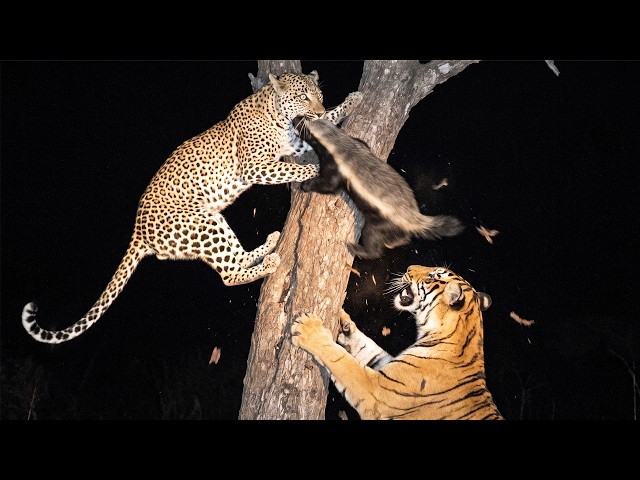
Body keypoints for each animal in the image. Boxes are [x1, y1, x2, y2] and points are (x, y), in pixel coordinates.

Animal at [22, 70, 363, 344]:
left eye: (320, 95)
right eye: (303, 96)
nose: (318, 108)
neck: (277, 115)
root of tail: (137, 231)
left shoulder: (294, 143)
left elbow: (324, 125)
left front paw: (349, 103)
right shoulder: (254, 167)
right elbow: (295, 168)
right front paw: (319, 167)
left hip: (211, 221)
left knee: (235, 261)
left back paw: (269, 244)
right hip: (202, 223)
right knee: (228, 275)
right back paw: (269, 262)